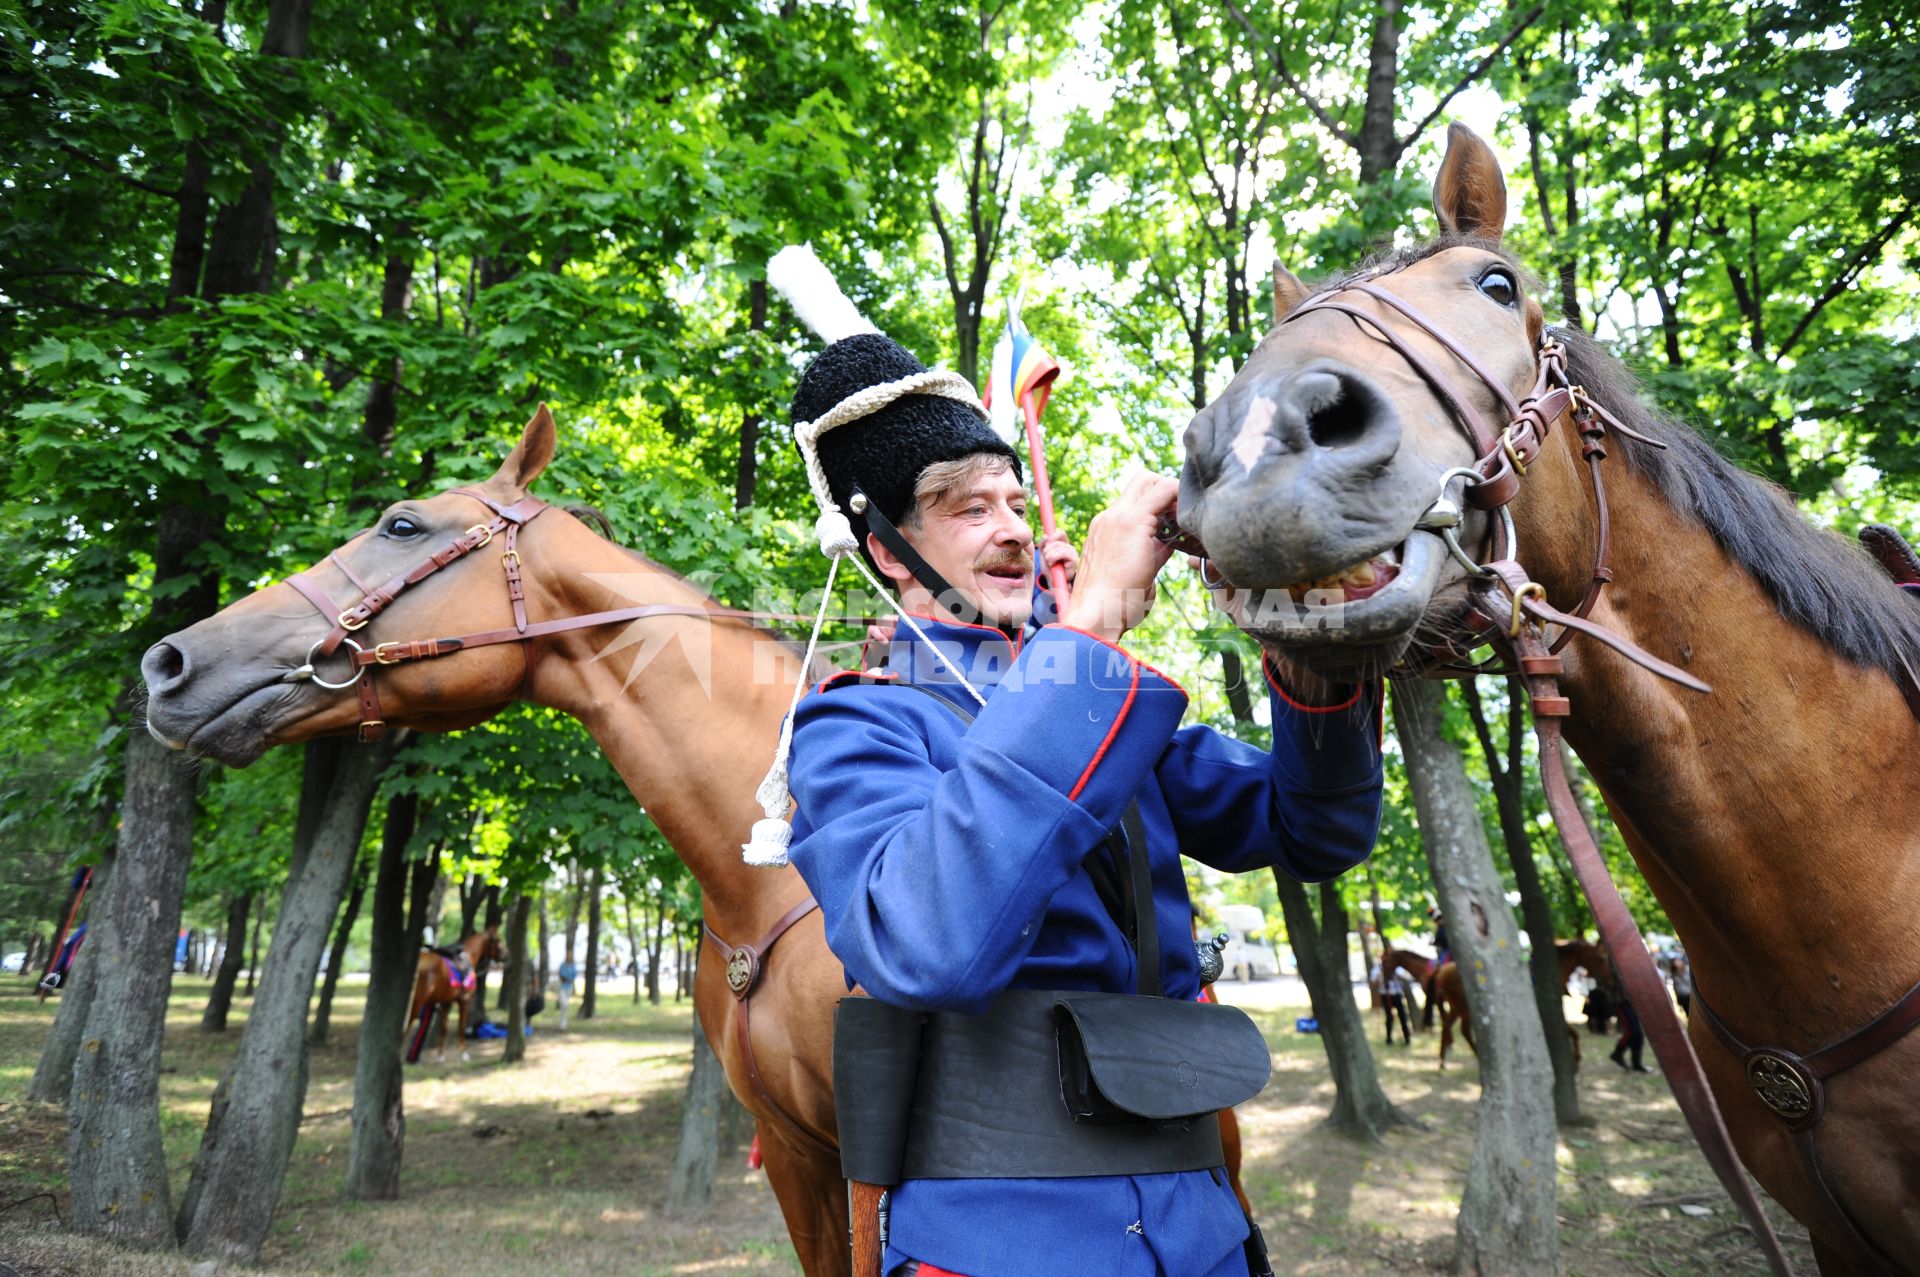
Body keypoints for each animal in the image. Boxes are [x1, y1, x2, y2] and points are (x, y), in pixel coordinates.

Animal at [407, 921, 510, 1060]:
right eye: (497, 939)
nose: (506, 954)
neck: (468, 956)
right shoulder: (465, 1001)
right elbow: (462, 1026)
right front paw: (463, 1053)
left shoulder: (446, 1003)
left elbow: (443, 1028)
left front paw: (440, 1056)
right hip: (416, 1003)